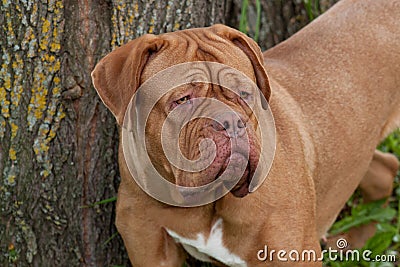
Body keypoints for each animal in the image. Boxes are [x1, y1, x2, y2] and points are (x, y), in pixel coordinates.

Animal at [91, 1, 400, 266]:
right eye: (183, 99)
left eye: (244, 93)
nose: (230, 121)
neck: (209, 202)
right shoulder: (149, 245)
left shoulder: (294, 253)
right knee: (383, 169)